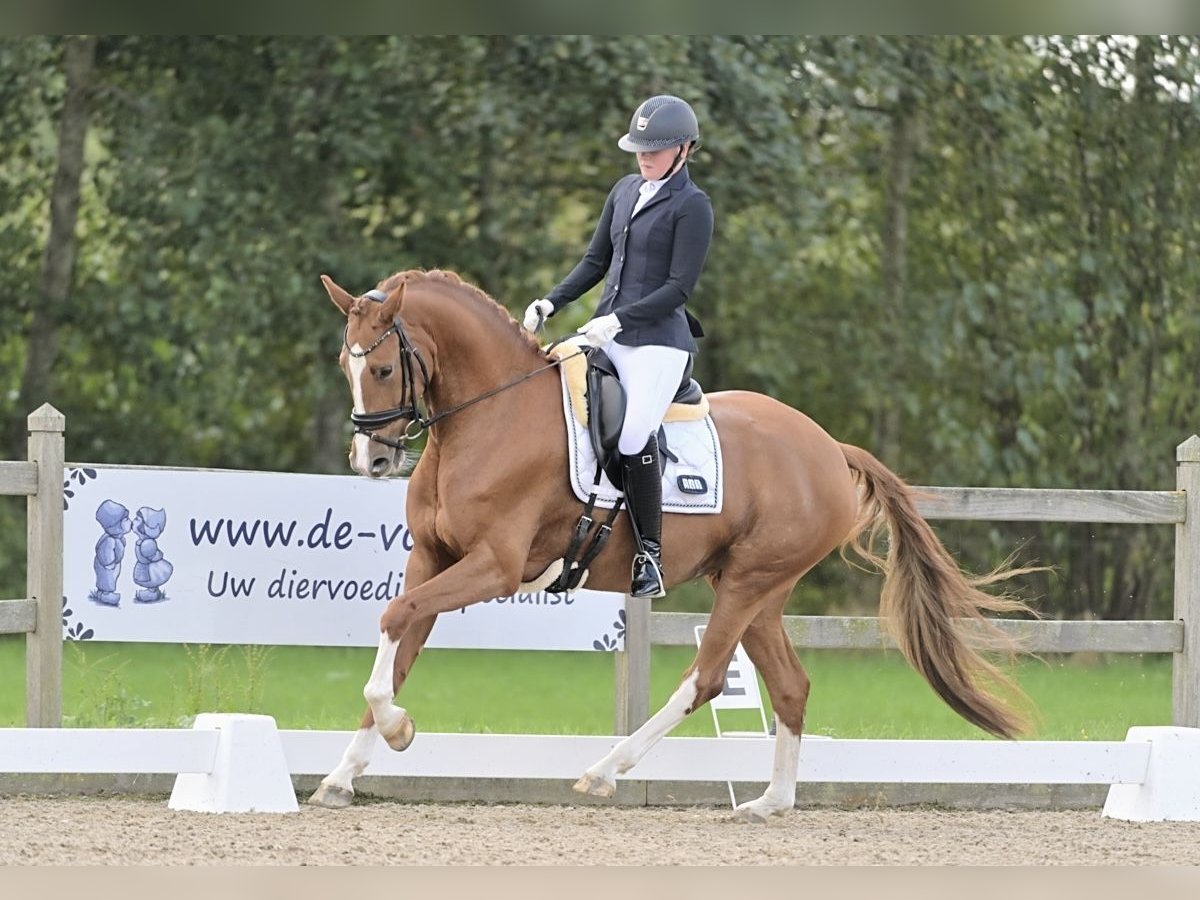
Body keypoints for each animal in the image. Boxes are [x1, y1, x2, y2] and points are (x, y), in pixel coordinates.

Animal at [312, 270, 1032, 825]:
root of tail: (830, 448)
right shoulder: (430, 560)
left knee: (707, 677)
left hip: (747, 582)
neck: (491, 416)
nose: (371, 460)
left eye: (382, 367)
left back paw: (607, 769)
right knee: (791, 685)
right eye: (345, 365)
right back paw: (771, 802)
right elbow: (398, 645)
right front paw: (343, 775)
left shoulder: (493, 567)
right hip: (759, 590)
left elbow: (394, 619)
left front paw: (399, 731)